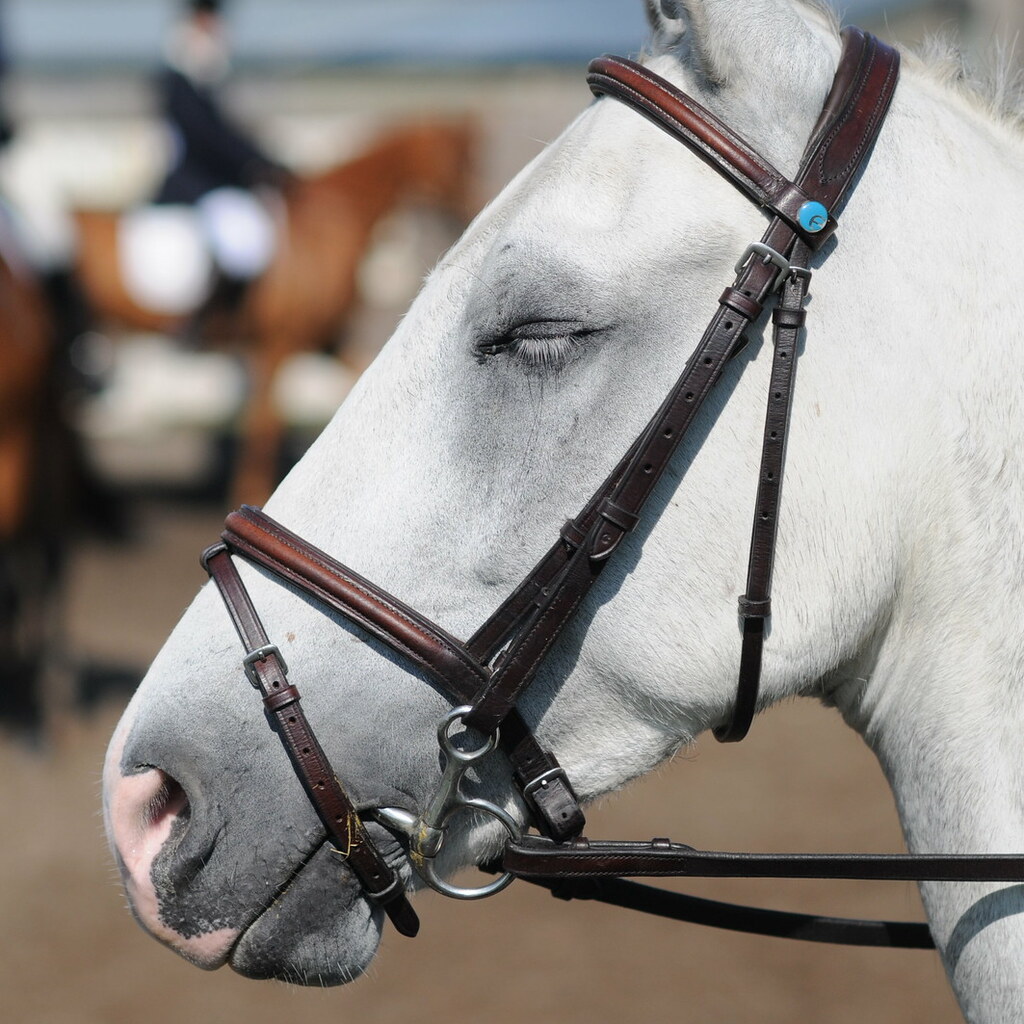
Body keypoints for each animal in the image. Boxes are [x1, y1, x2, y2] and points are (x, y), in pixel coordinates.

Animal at [73, 116, 478, 504]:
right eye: (457, 163)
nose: (469, 213)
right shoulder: (278, 344)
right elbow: (264, 424)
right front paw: (251, 493)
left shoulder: (325, 340)